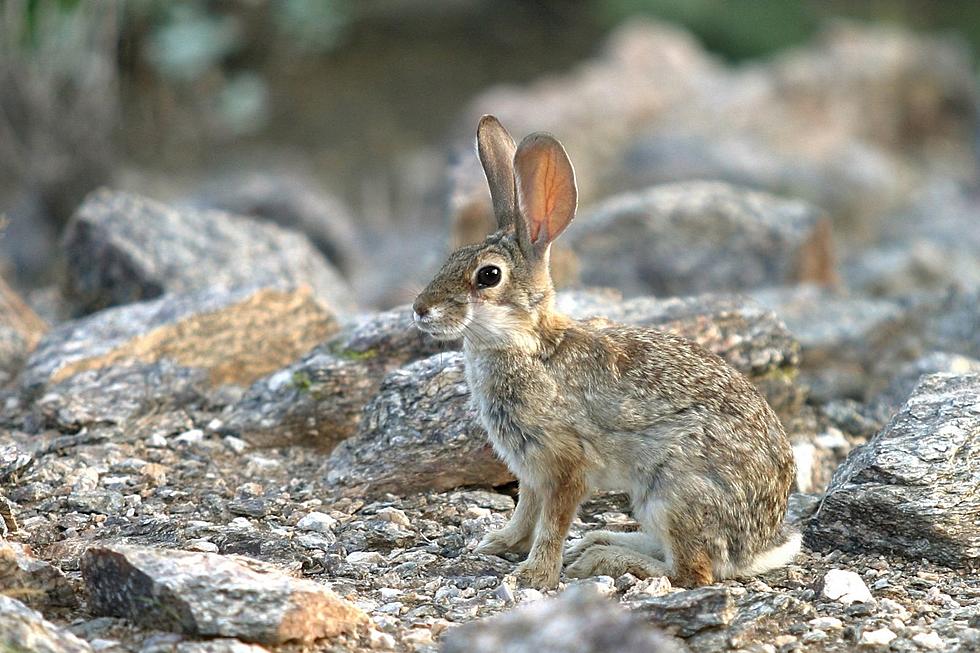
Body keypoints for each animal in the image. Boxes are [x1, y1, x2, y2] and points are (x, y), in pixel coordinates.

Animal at [410, 114, 800, 588]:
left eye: (488, 276)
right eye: (452, 257)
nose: (419, 309)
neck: (529, 344)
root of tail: (759, 546)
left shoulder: (566, 464)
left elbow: (552, 522)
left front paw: (534, 575)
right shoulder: (530, 469)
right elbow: (526, 510)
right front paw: (498, 544)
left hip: (672, 493)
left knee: (691, 572)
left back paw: (602, 559)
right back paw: (599, 541)